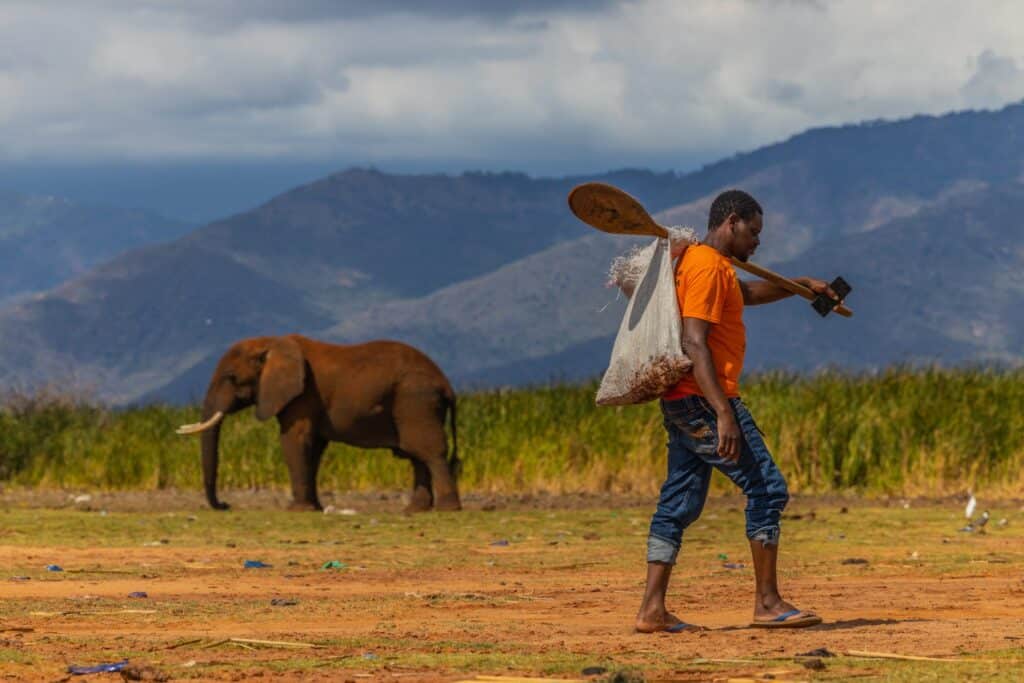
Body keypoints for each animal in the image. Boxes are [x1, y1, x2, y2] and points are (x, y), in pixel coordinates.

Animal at [176, 335, 461, 513]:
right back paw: (414, 511)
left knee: (429, 451)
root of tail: (446, 384)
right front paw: (313, 508)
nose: (226, 505)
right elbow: (314, 448)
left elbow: (294, 440)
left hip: (416, 400)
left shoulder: (302, 394)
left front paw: (296, 510)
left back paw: (447, 509)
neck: (271, 342)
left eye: (231, 377)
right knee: (417, 455)